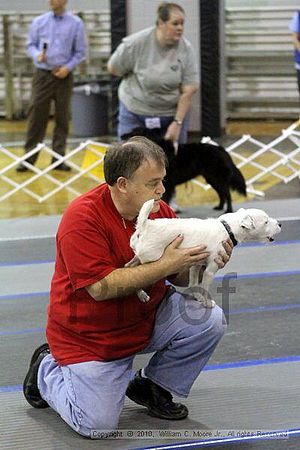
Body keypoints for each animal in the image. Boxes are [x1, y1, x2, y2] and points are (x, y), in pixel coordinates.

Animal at [129, 200, 282, 308]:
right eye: (266, 222)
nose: (280, 224)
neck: (228, 228)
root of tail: (145, 225)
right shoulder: (210, 270)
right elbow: (204, 288)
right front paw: (207, 303)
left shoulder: (195, 265)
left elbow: (193, 282)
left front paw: (198, 298)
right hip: (152, 260)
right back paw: (142, 294)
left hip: (139, 257)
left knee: (129, 266)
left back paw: (141, 294)